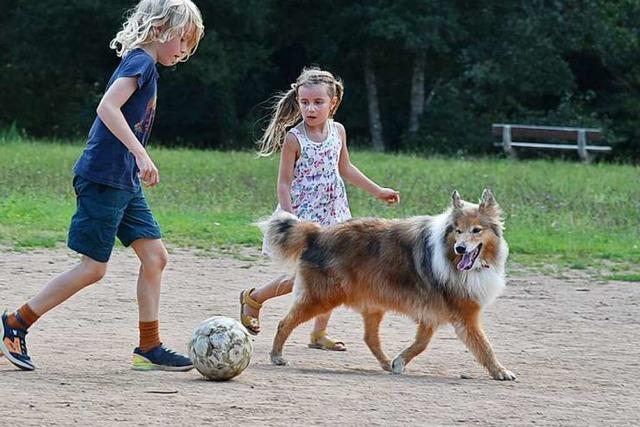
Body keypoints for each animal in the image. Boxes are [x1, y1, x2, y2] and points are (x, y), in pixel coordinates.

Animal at [262, 190, 516, 382]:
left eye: (476, 230)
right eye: (458, 230)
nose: (460, 248)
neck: (450, 257)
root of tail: (317, 233)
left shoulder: (431, 314)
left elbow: (421, 343)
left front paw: (399, 362)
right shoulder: (465, 315)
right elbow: (484, 346)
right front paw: (501, 372)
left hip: (372, 305)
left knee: (370, 338)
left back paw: (385, 363)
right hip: (321, 297)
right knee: (284, 323)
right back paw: (276, 356)